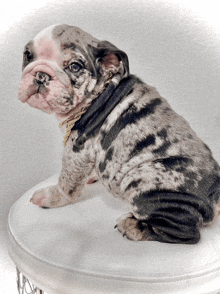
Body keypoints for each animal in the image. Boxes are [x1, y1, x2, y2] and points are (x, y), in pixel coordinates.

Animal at [18, 24, 220, 243]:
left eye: (75, 66)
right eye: (28, 55)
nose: (41, 74)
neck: (100, 91)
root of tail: (215, 194)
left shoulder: (77, 149)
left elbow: (67, 182)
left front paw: (50, 197)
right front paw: (92, 176)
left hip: (141, 178)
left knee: (186, 233)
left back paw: (134, 227)